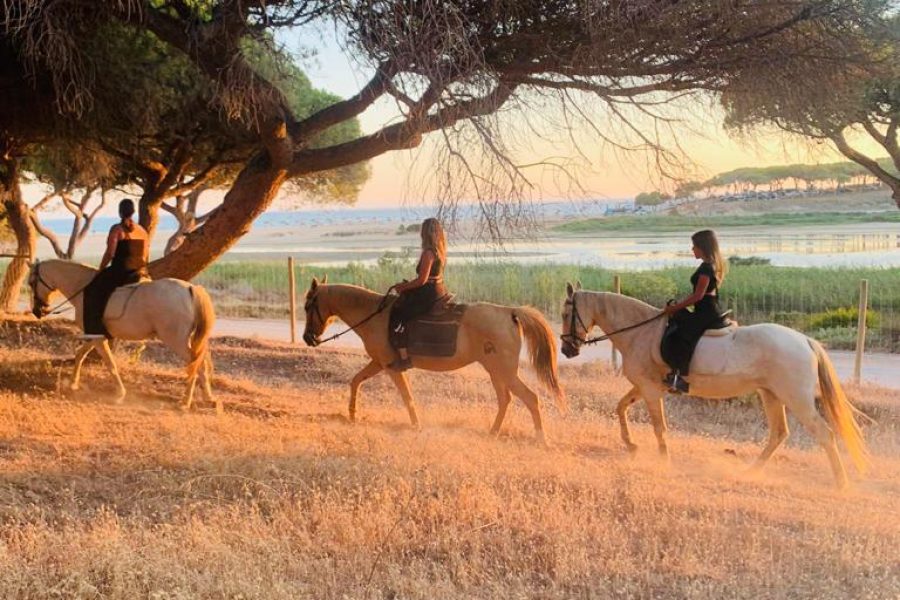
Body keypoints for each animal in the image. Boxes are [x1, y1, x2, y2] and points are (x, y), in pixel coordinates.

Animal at [28, 259, 218, 413]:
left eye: (31, 283)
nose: (37, 311)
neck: (82, 288)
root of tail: (190, 289)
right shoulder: (97, 335)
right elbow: (80, 354)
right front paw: (73, 383)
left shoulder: (97, 337)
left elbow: (110, 363)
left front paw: (120, 394)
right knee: (202, 362)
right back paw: (209, 398)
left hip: (175, 340)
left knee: (195, 363)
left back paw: (185, 402)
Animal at [302, 277, 566, 443]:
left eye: (307, 307)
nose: (307, 338)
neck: (375, 316)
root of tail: (509, 312)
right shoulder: (378, 363)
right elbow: (356, 381)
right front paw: (352, 415)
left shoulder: (390, 367)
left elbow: (406, 397)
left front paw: (416, 425)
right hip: (495, 371)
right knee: (505, 400)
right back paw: (493, 433)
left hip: (505, 372)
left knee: (530, 398)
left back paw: (541, 440)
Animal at [559, 283, 868, 489]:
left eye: (565, 314)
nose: (567, 350)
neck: (640, 332)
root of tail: (805, 340)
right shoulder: (645, 388)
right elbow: (621, 407)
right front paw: (632, 446)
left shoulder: (650, 390)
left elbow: (659, 428)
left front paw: (663, 462)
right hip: (771, 394)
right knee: (779, 433)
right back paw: (750, 472)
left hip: (796, 399)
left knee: (824, 434)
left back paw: (841, 483)